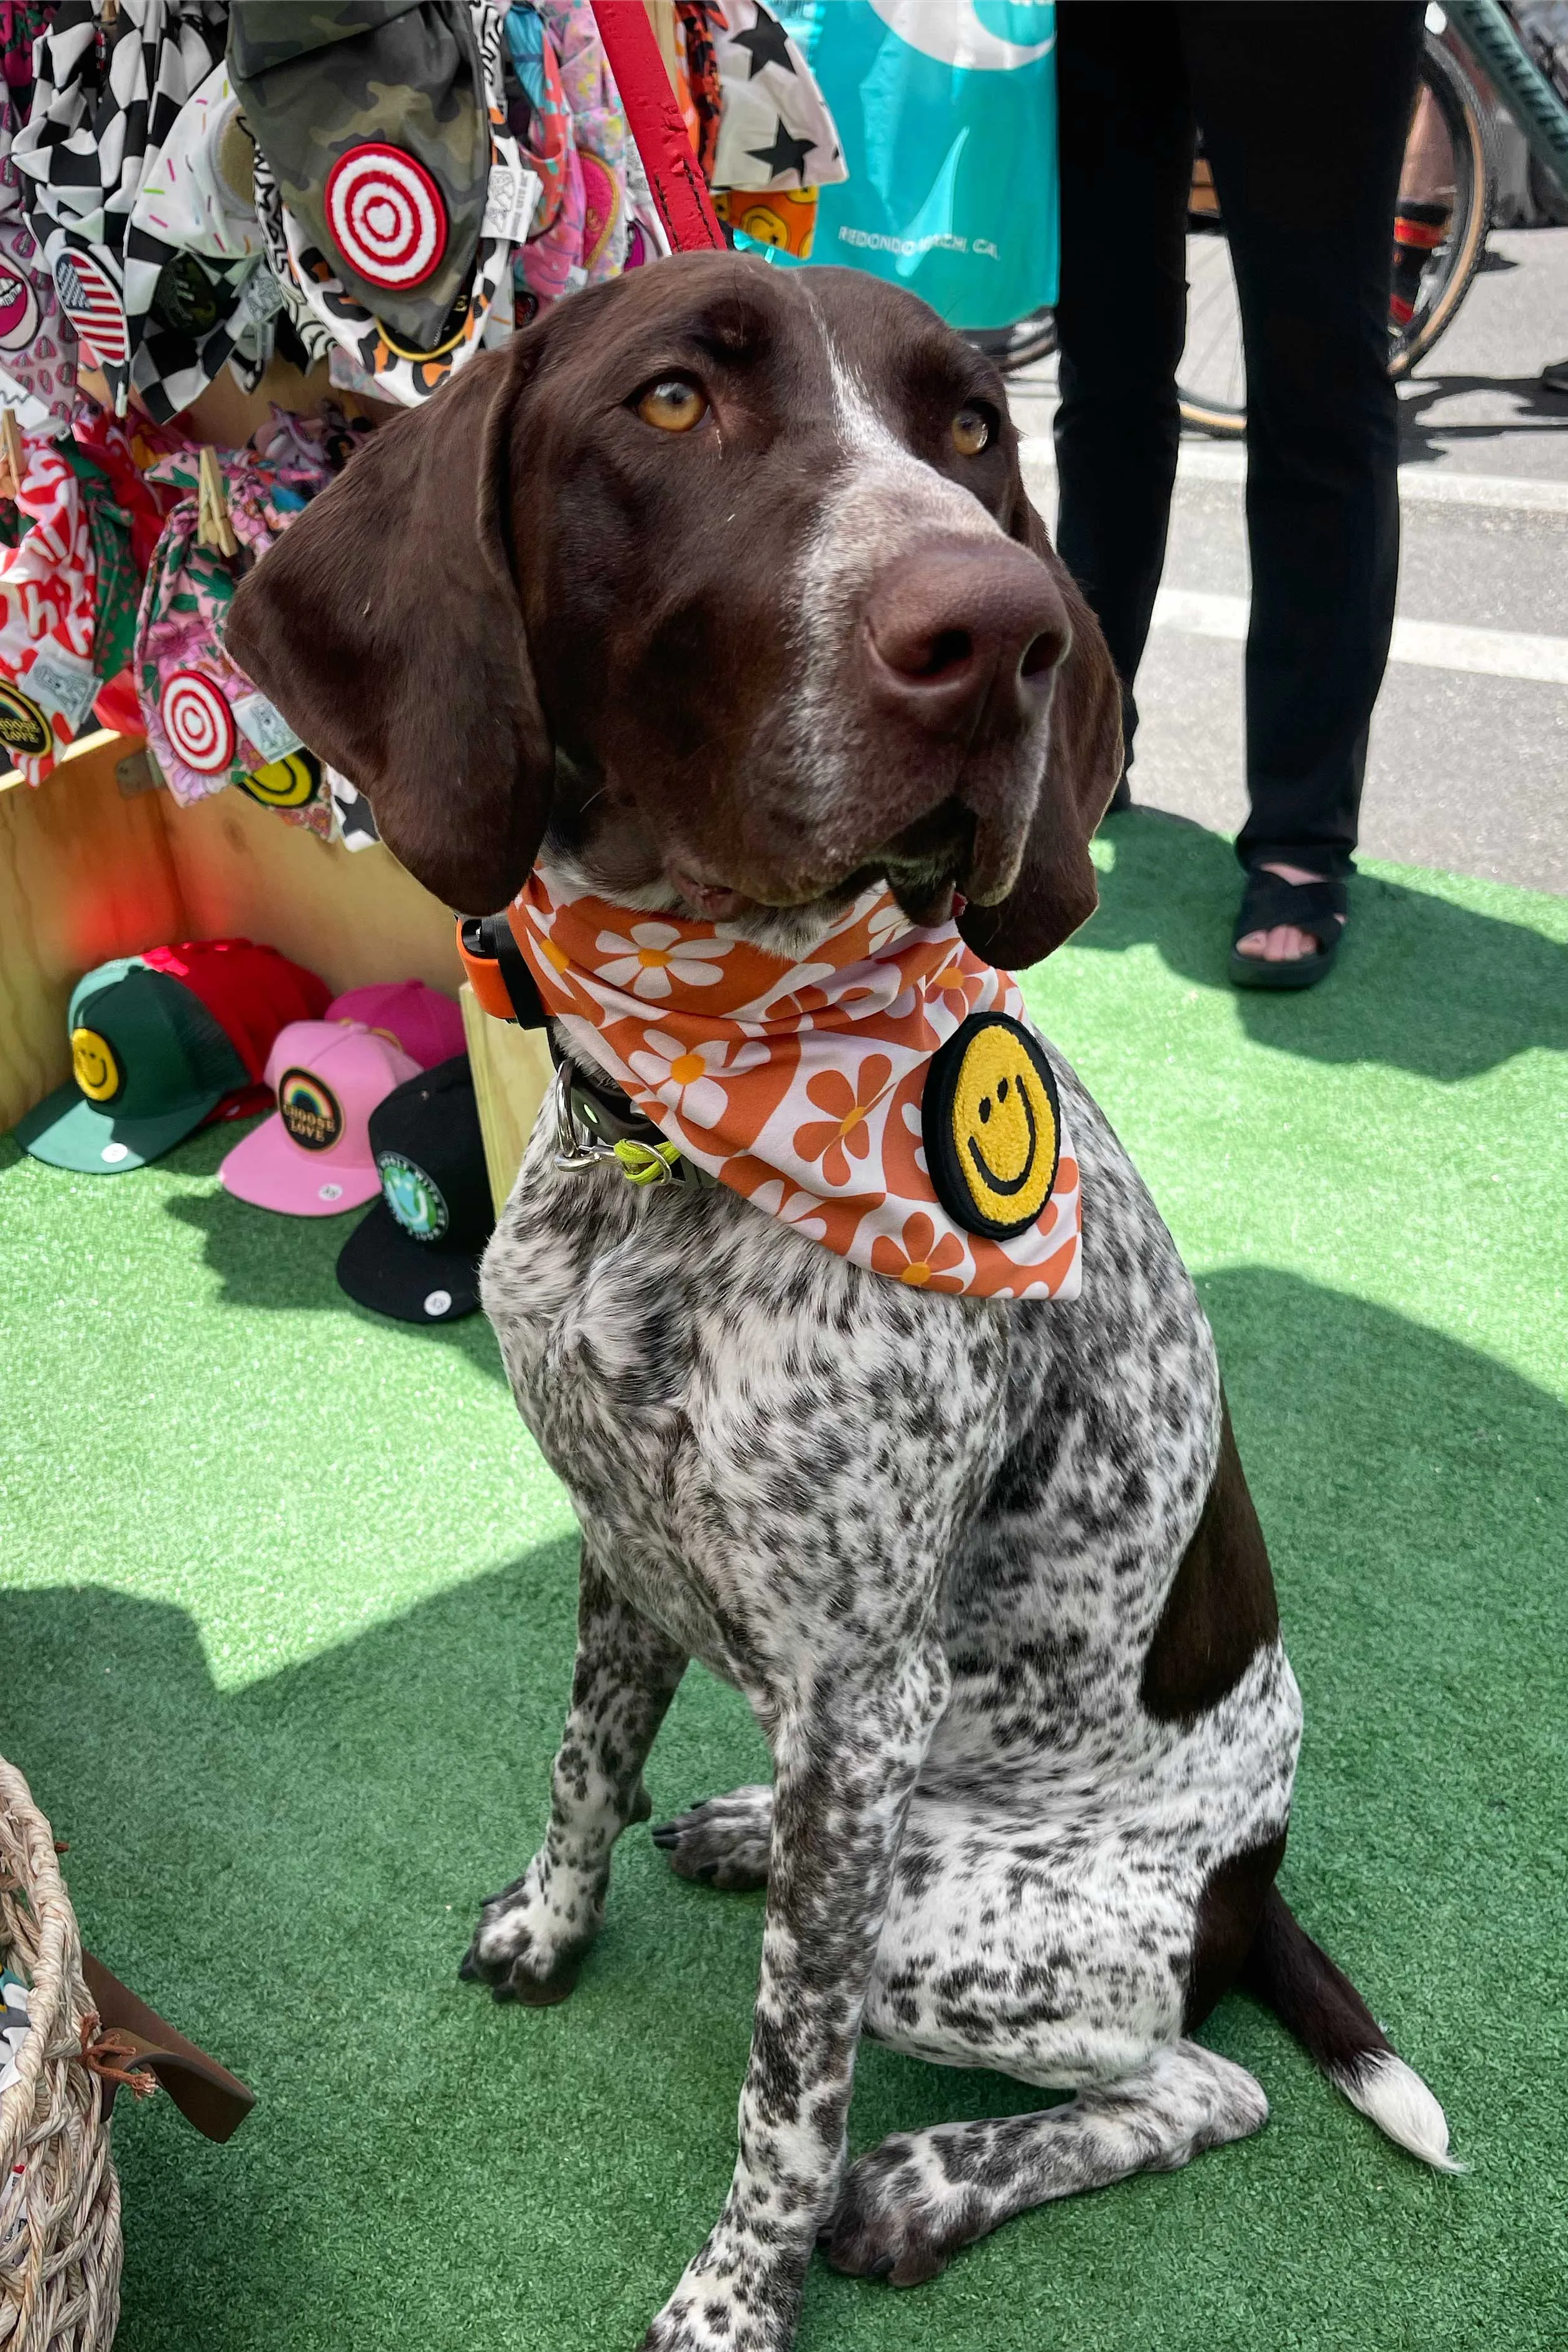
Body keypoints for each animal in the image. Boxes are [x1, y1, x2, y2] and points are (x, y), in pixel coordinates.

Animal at [226, 253, 1457, 2352]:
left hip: (958, 1919)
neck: (682, 1141)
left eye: (972, 430)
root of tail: (1256, 1879)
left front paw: (739, 2293)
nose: (1008, 632)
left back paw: (926, 2184)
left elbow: (784, 2082)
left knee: (1194, 2078)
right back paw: (734, 1832)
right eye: (668, 402)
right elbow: (580, 1763)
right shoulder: (621, 1547)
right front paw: (552, 1923)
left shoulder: (869, 1700)